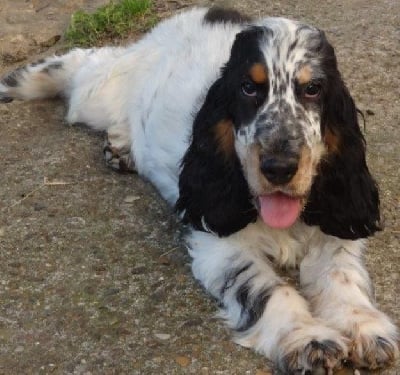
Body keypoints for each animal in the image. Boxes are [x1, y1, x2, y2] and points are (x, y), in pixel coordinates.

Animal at [1, 6, 398, 375]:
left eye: (313, 89)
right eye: (248, 87)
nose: (279, 167)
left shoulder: (335, 227)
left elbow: (341, 276)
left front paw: (366, 328)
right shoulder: (220, 246)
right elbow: (269, 289)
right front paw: (307, 338)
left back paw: (122, 147)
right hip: (99, 93)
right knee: (88, 65)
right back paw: (21, 81)